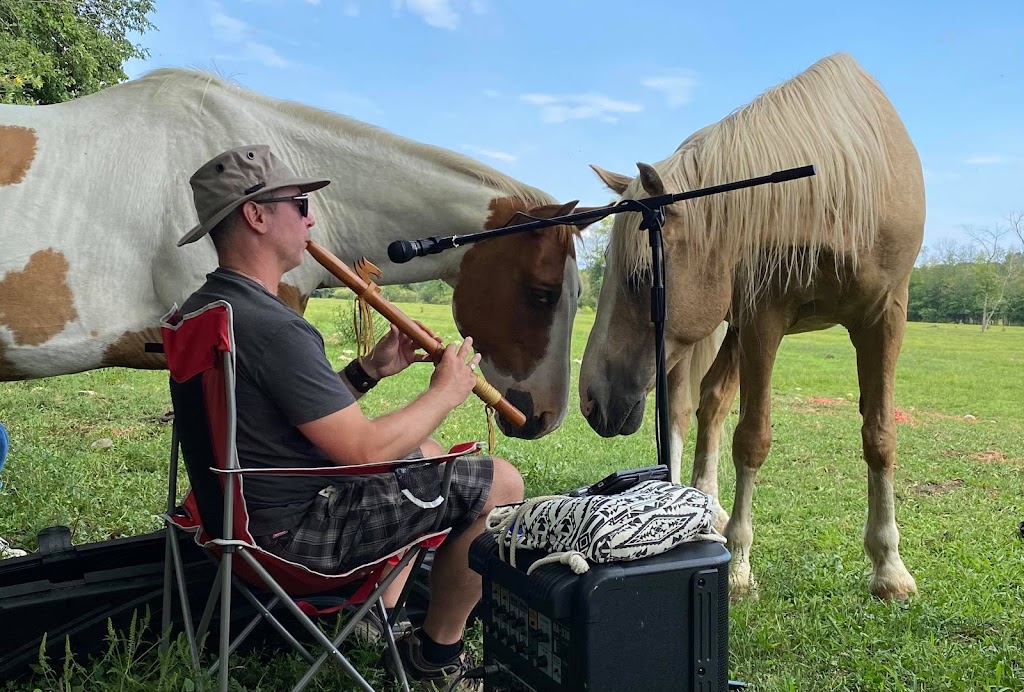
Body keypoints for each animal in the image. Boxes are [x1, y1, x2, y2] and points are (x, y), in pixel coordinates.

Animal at [581, 52, 925, 601]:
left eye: (639, 277)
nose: (590, 399)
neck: (842, 190)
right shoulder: (763, 317)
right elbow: (753, 438)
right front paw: (740, 565)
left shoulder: (886, 316)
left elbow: (880, 436)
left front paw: (890, 569)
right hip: (704, 340)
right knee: (684, 411)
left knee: (713, 402)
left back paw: (707, 506)